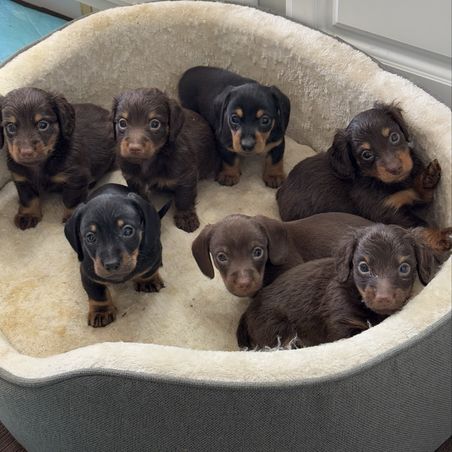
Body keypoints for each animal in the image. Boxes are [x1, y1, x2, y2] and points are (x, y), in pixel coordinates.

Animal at [0, 87, 116, 229]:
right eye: (10, 127)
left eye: (43, 125)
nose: (26, 152)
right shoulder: (21, 178)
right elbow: (28, 198)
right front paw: (28, 215)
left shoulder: (75, 177)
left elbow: (71, 200)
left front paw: (73, 216)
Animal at [64, 183, 170, 327]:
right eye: (90, 237)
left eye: (128, 231)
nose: (111, 264)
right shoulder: (88, 274)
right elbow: (97, 293)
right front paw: (101, 312)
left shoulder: (153, 255)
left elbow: (149, 272)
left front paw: (148, 281)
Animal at [112, 88, 219, 233]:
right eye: (122, 123)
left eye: (154, 124)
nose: (134, 148)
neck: (150, 160)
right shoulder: (133, 178)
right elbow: (139, 195)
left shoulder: (186, 176)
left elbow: (184, 198)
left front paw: (185, 216)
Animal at [237, 224, 439, 349]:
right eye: (363, 267)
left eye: (404, 268)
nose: (384, 298)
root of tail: (247, 313)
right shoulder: (341, 324)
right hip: (279, 330)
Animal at [276, 103, 441, 228]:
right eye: (366, 154)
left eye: (394, 137)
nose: (395, 169)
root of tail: (281, 190)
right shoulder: (385, 211)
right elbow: (422, 226)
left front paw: (428, 177)